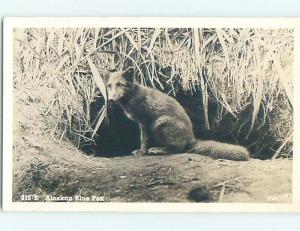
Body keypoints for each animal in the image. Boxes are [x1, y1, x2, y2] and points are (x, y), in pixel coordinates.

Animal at [105, 67, 251, 161]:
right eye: (109, 85)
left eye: (120, 84)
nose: (110, 99)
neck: (131, 97)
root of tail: (192, 139)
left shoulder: (145, 121)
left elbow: (144, 139)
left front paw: (142, 152)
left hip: (160, 124)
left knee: (178, 149)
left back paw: (158, 150)